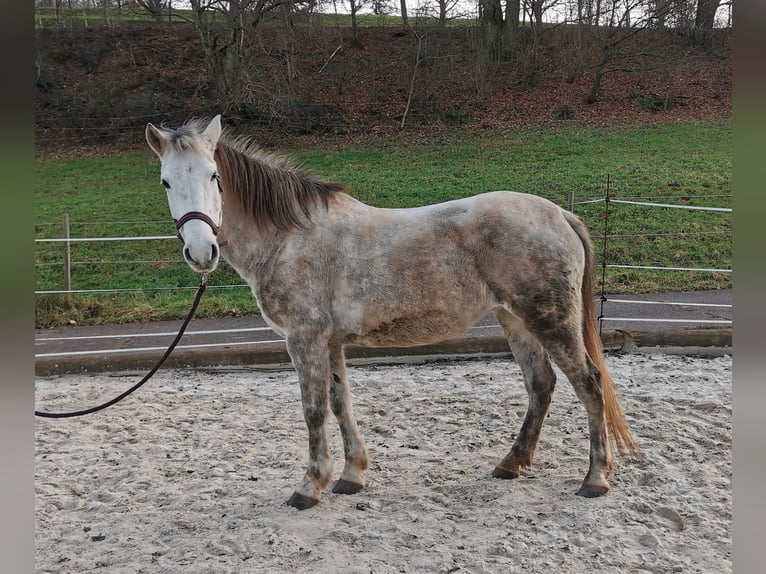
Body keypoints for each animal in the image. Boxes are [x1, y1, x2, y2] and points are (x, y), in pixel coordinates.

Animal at [145, 115, 639, 510]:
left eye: (214, 176)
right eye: (166, 182)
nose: (201, 252)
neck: (290, 238)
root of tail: (559, 214)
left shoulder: (303, 339)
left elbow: (313, 410)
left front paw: (310, 486)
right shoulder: (330, 343)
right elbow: (340, 403)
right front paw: (351, 476)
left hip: (549, 321)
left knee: (589, 383)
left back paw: (595, 478)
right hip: (515, 321)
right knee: (541, 385)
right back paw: (511, 463)